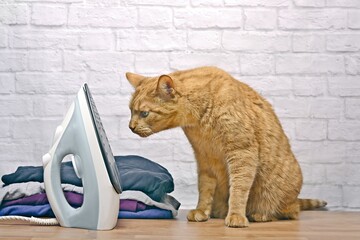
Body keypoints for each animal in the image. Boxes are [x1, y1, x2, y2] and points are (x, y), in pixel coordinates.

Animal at [126, 66, 326, 228]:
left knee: (289, 212)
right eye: (130, 111)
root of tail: (295, 199)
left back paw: (260, 214)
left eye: (144, 113)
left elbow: (239, 189)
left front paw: (236, 215)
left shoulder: (242, 152)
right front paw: (202, 211)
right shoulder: (205, 158)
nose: (131, 127)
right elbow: (204, 189)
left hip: (279, 193)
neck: (200, 118)